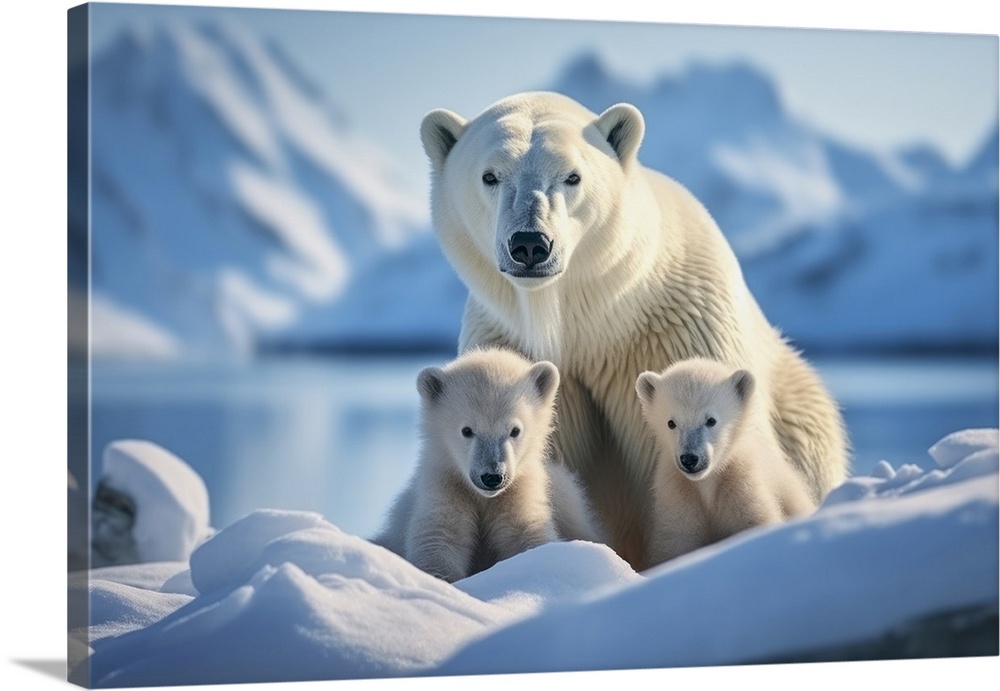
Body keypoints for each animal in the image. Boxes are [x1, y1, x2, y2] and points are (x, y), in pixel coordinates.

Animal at [372, 348, 596, 580]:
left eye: (515, 430)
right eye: (467, 430)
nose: (492, 477)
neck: (484, 498)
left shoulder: (518, 492)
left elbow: (526, 534)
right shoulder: (446, 486)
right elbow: (439, 537)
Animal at [636, 360, 816, 564]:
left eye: (711, 420)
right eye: (671, 423)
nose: (690, 459)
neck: (706, 484)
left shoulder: (741, 487)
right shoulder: (679, 497)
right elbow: (677, 543)